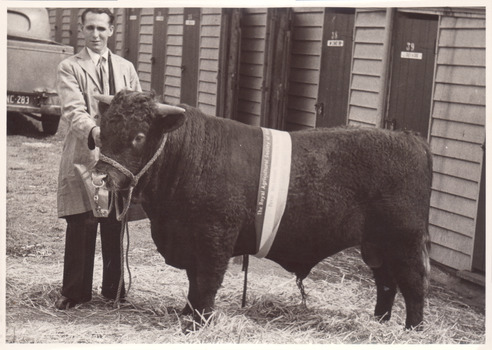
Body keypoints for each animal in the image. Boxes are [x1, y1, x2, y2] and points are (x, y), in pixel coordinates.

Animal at [94, 90, 432, 330]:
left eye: (138, 136)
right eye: (102, 132)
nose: (101, 176)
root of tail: (410, 138)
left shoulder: (215, 237)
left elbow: (206, 282)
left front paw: (199, 323)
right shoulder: (190, 239)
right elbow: (193, 282)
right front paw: (187, 313)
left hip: (404, 240)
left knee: (414, 284)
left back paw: (412, 330)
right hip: (376, 244)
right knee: (387, 283)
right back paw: (379, 323)